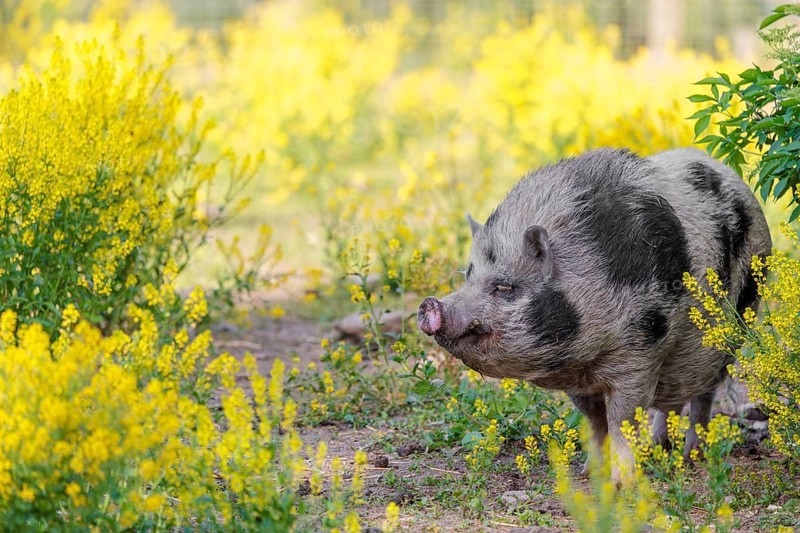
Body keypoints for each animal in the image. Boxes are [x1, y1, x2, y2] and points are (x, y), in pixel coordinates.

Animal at [417, 147, 771, 478]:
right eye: (468, 276)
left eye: (505, 287)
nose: (429, 305)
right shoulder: (577, 379)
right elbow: (594, 420)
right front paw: (588, 474)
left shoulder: (641, 352)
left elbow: (620, 420)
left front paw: (623, 483)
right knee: (672, 404)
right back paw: (656, 449)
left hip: (734, 329)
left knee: (704, 396)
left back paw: (692, 457)